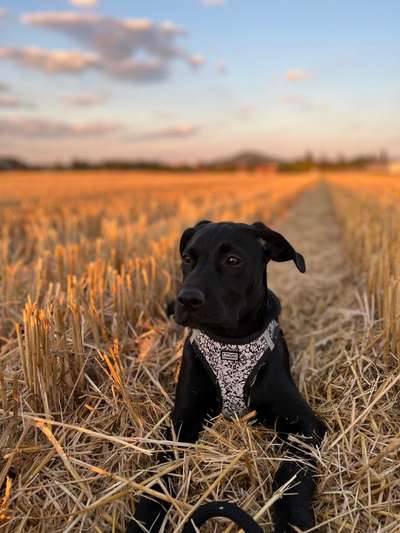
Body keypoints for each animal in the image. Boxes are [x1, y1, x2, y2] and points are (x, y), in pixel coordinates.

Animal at [130, 220, 326, 532]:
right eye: (188, 258)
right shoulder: (182, 418)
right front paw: (146, 516)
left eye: (233, 260)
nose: (188, 298)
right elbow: (161, 468)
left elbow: (293, 471)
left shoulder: (304, 422)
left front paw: (295, 518)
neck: (230, 342)